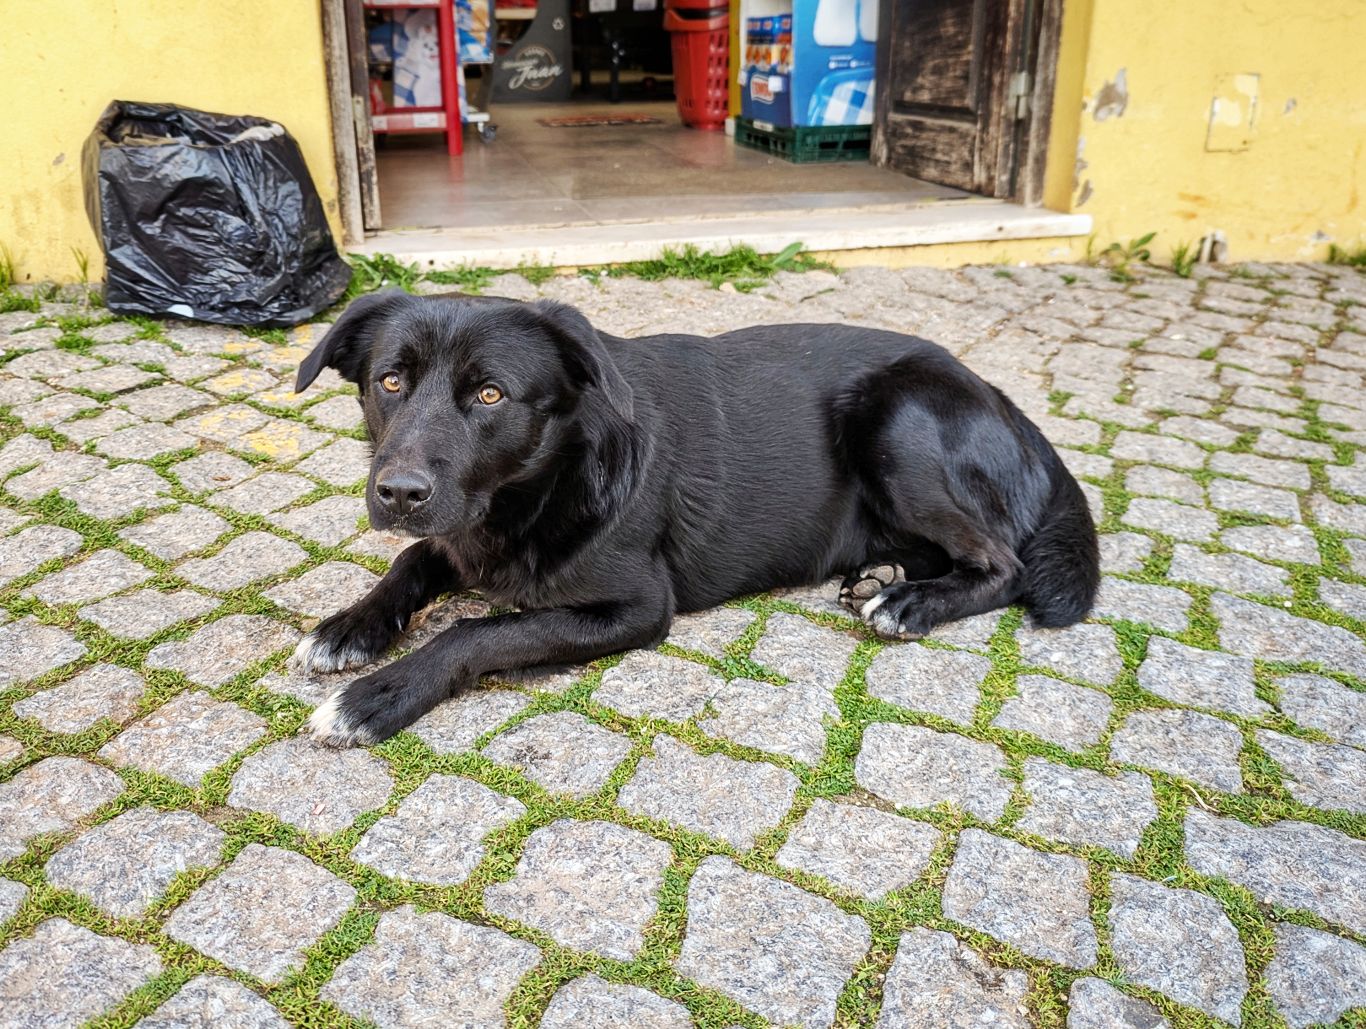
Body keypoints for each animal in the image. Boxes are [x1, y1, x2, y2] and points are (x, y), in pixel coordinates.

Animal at [290, 289, 1098, 748]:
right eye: (389, 381)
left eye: (490, 395)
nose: (398, 493)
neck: (548, 481)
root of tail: (1001, 397)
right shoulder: (454, 533)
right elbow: (412, 560)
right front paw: (350, 625)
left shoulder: (637, 607)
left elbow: (475, 632)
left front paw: (376, 696)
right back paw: (885, 574)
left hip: (896, 424)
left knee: (1005, 563)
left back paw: (911, 602)